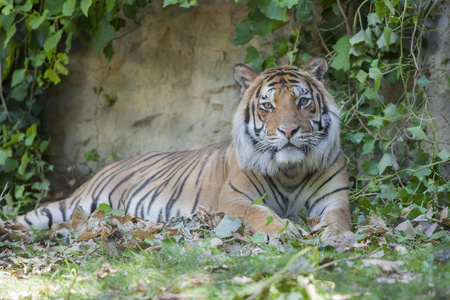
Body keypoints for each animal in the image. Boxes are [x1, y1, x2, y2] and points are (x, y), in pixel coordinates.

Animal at [13, 55, 352, 239]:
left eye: (303, 101)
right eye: (267, 106)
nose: (288, 130)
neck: (290, 170)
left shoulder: (334, 198)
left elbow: (338, 220)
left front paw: (337, 237)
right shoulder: (234, 200)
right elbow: (260, 214)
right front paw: (285, 231)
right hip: (74, 205)